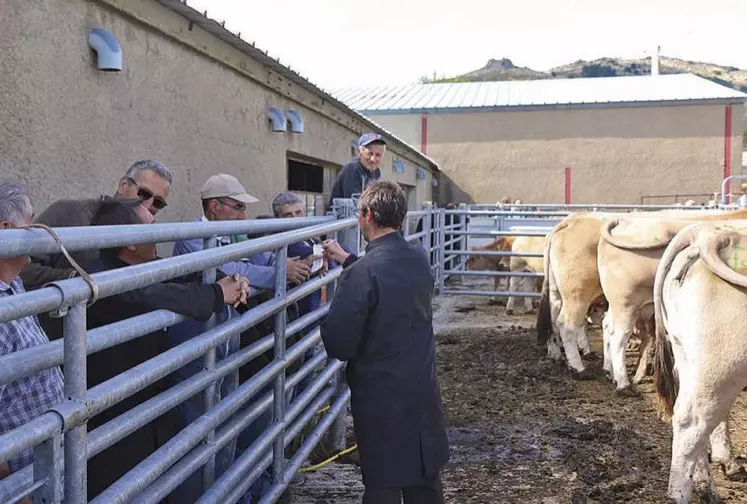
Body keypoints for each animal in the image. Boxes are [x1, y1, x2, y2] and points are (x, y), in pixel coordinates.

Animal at [600, 209, 747, 398]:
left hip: (623, 305)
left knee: (607, 325)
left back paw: (611, 372)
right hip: (626, 304)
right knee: (619, 337)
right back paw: (623, 384)